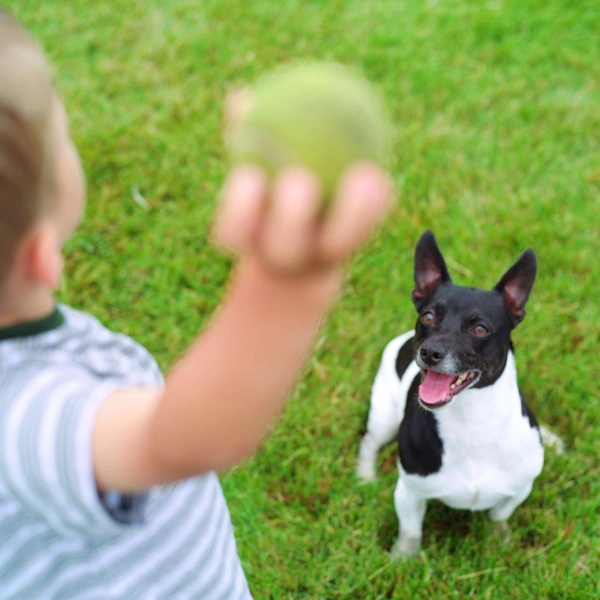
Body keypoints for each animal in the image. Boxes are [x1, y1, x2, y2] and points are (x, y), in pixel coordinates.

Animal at [356, 231, 564, 556]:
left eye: (480, 329)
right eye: (428, 316)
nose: (430, 352)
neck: (471, 419)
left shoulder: (519, 489)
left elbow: (499, 515)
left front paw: (498, 541)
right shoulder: (409, 493)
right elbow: (411, 531)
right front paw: (402, 559)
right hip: (384, 416)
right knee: (370, 442)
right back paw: (366, 476)